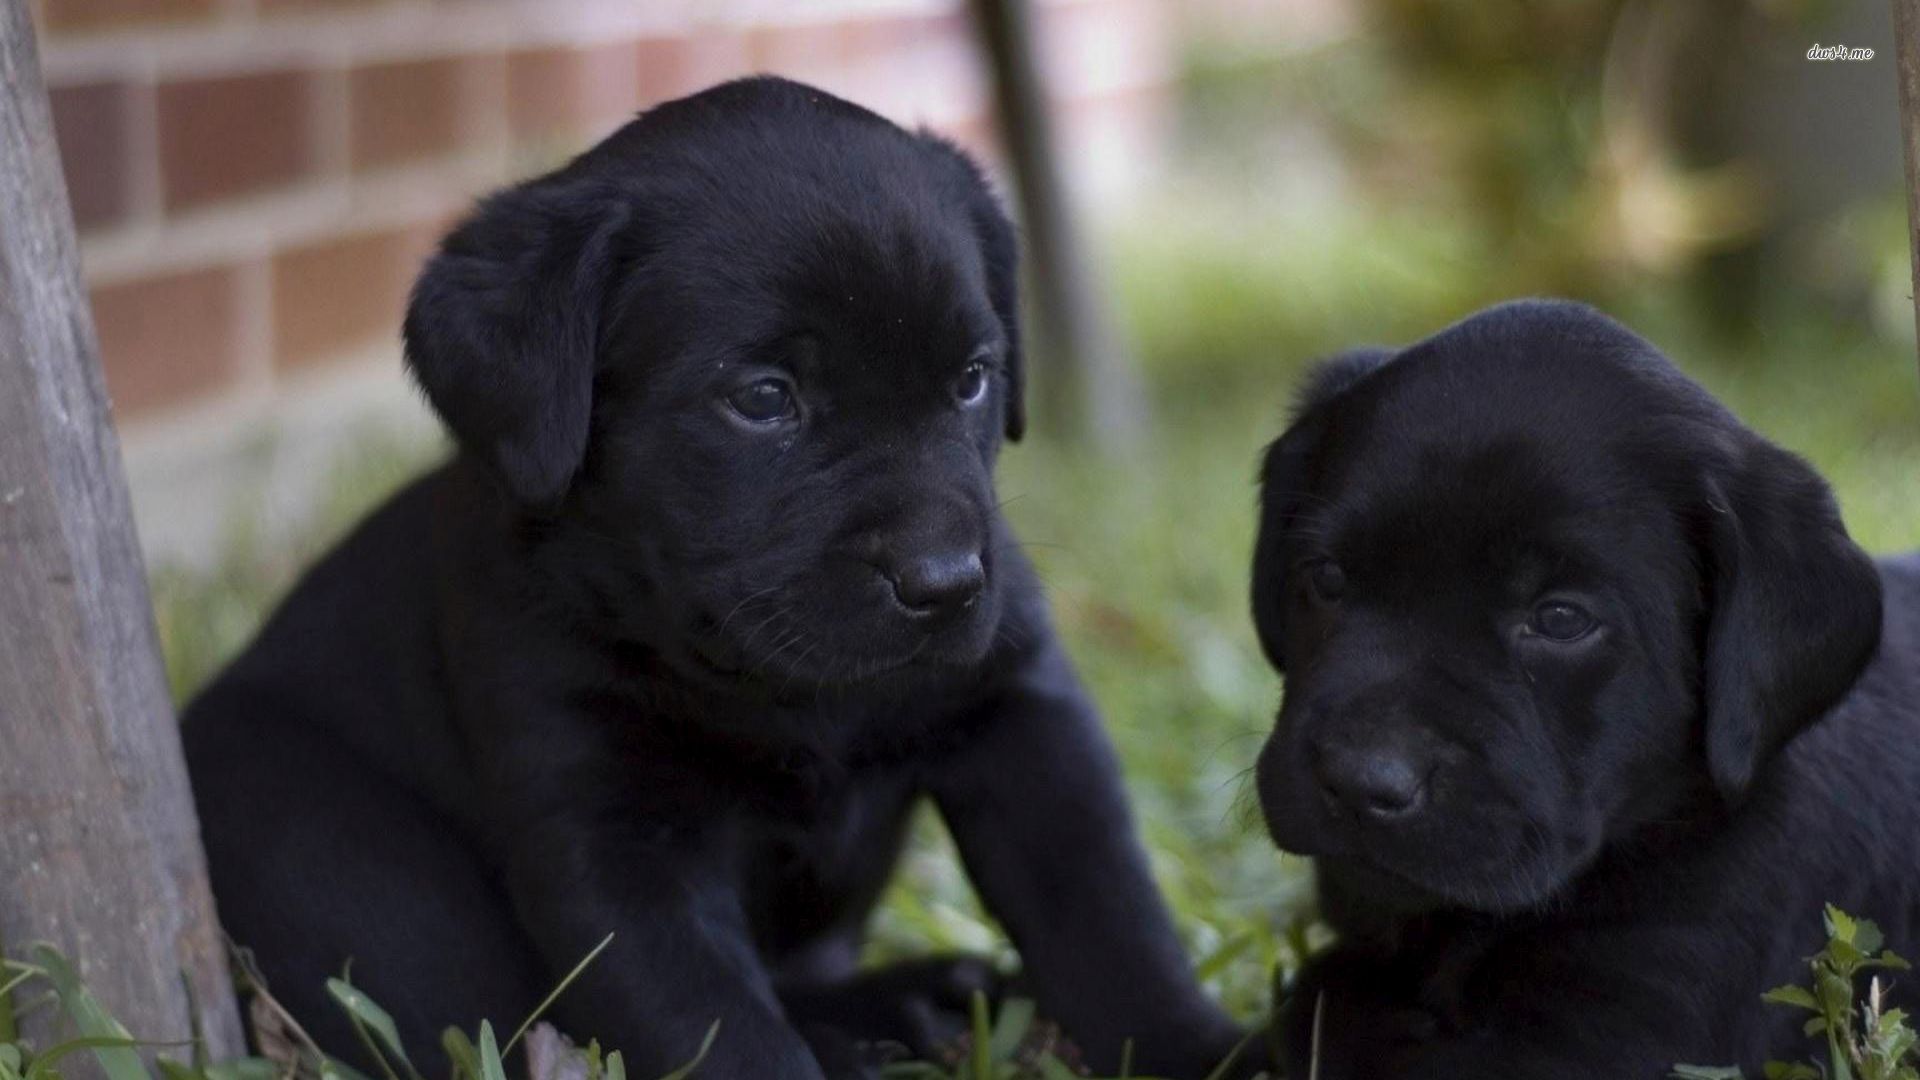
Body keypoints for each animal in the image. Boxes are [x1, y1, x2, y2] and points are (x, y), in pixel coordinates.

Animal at [183, 77, 1244, 1076]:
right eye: (765, 399)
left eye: (974, 378)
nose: (944, 582)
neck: (779, 689)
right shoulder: (612, 835)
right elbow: (715, 1026)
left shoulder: (1024, 715)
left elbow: (1109, 919)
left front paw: (1211, 1049)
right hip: (331, 850)